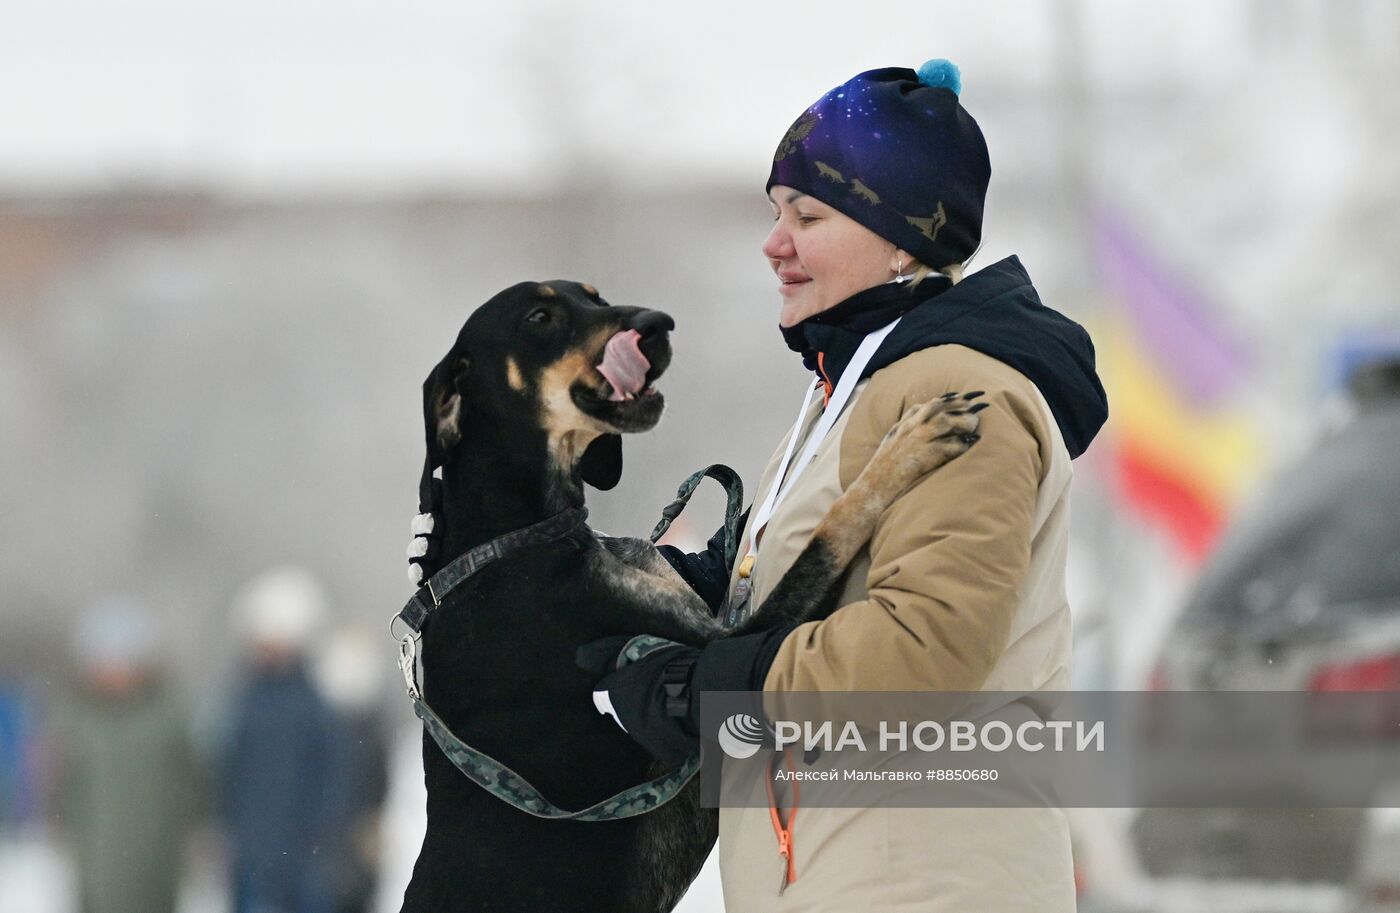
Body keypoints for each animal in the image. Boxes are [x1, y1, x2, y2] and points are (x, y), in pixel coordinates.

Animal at [400, 281, 980, 907]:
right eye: (539, 316)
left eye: (595, 296)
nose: (659, 323)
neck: (518, 534)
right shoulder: (737, 642)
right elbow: (828, 534)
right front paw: (907, 444)